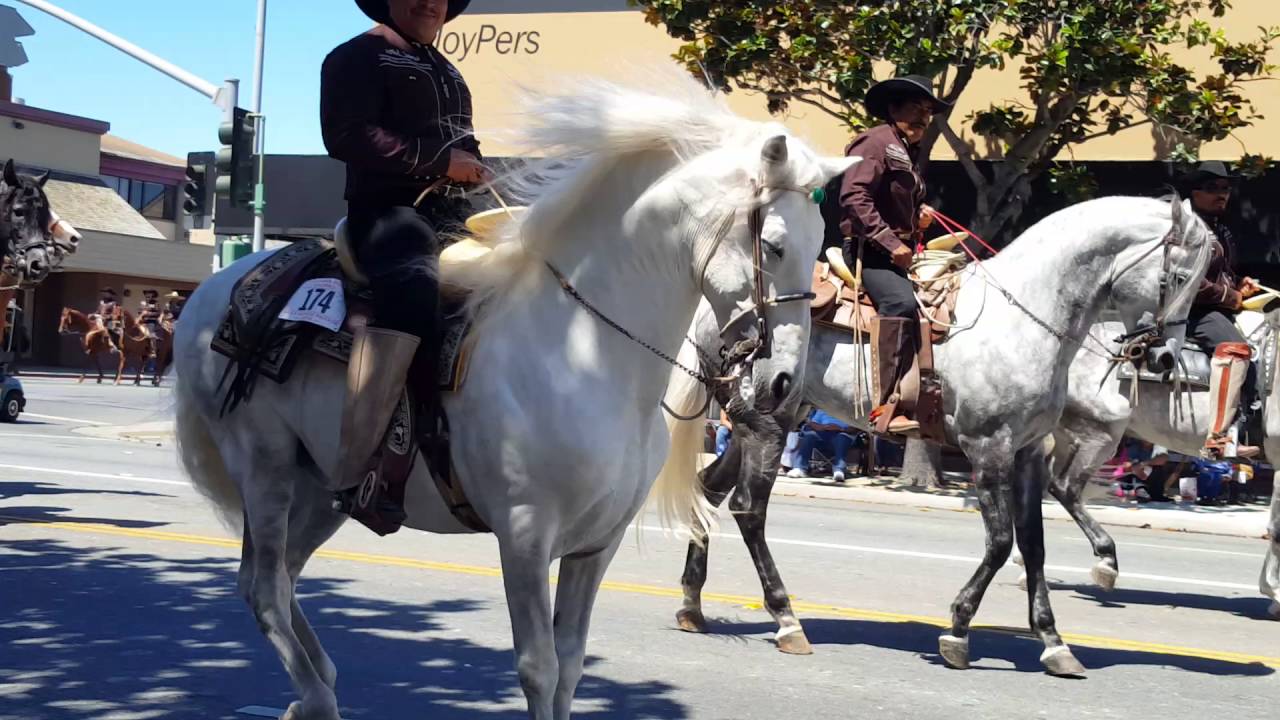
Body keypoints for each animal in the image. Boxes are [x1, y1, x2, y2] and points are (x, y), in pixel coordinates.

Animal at [167, 74, 849, 717]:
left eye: (821, 248)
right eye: (776, 245)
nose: (783, 384)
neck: (584, 350)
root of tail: (214, 292)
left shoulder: (596, 544)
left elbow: (571, 664)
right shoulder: (524, 536)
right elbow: (539, 667)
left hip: (319, 487)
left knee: (281, 578)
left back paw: (315, 689)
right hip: (265, 467)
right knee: (265, 588)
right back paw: (318, 696)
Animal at [665, 192, 1213, 671]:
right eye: (1179, 277)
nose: (1165, 359)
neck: (1025, 317)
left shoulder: (1028, 452)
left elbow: (1033, 545)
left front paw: (1054, 644)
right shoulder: (987, 447)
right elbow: (1001, 542)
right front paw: (958, 631)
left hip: (771, 417)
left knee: (709, 489)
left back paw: (692, 604)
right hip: (768, 422)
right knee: (747, 508)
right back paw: (786, 620)